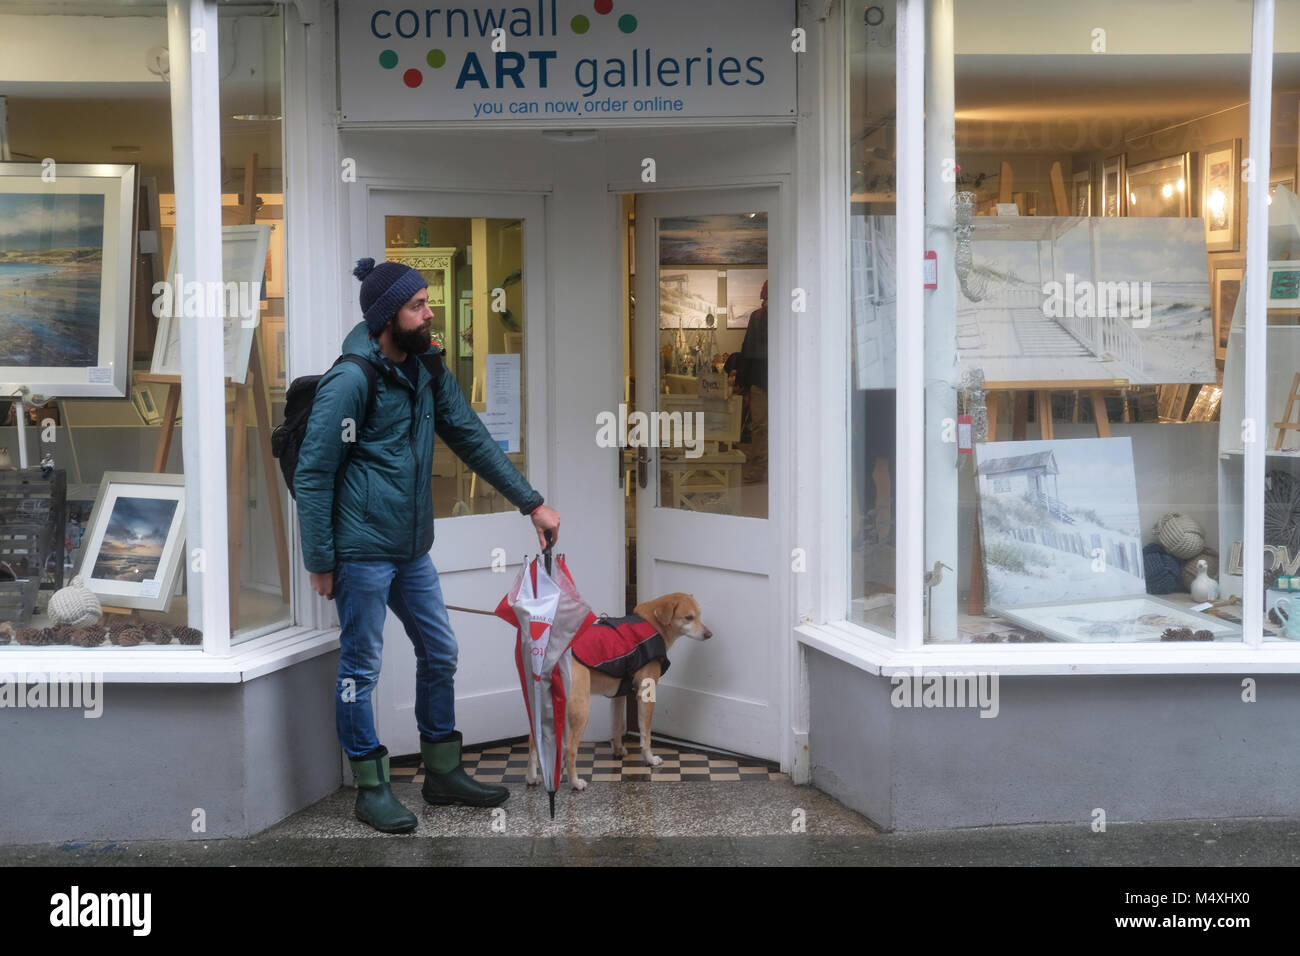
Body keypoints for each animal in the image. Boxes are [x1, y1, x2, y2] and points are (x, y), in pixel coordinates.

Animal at [525, 590, 717, 790]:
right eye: (688, 617)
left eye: (699, 614)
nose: (709, 634)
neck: (652, 624)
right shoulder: (647, 695)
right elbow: (646, 734)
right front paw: (649, 759)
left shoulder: (618, 695)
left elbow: (617, 725)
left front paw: (617, 750)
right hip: (581, 709)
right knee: (570, 748)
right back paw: (575, 782)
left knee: (532, 740)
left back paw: (531, 778)